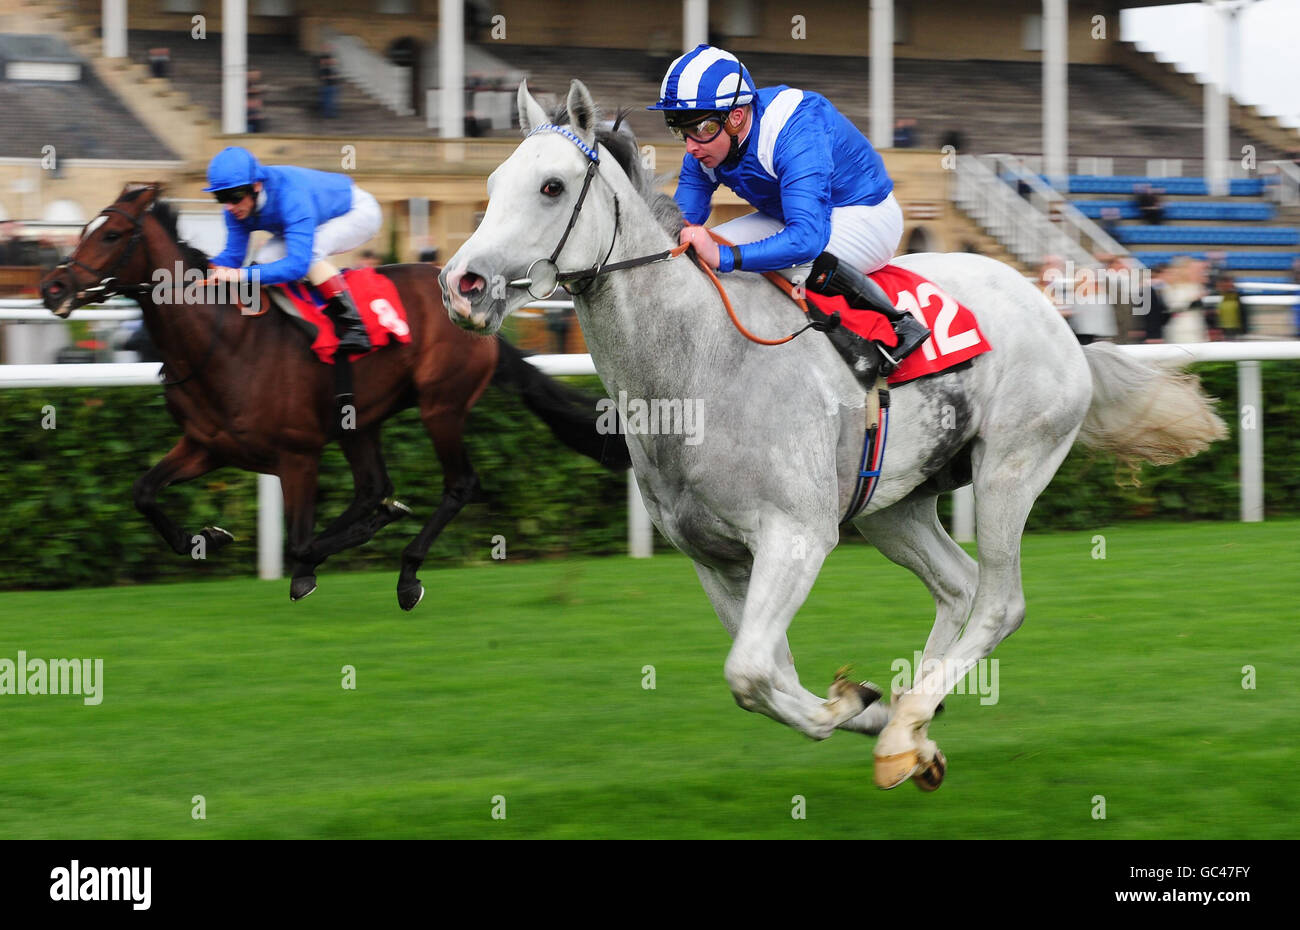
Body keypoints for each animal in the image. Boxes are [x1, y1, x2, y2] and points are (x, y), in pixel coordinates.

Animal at [39, 182, 629, 611]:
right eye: (86, 228)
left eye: (113, 234)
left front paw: (307, 568)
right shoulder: (206, 445)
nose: (53, 288)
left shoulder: (296, 455)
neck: (221, 340)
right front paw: (208, 537)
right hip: (359, 420)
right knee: (373, 487)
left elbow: (299, 543)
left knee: (458, 484)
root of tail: (476, 307)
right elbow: (142, 492)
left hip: (440, 405)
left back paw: (407, 573)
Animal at [439, 80, 1227, 789]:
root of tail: (1058, 317)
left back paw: (907, 726)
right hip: (893, 504)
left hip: (1010, 468)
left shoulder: (796, 534)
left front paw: (854, 707)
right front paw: (871, 709)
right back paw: (913, 722)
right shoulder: (714, 559)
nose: (462, 283)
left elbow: (750, 672)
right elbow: (769, 670)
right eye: (493, 182)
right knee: (958, 584)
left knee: (999, 601)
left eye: (550, 186)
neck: (697, 368)